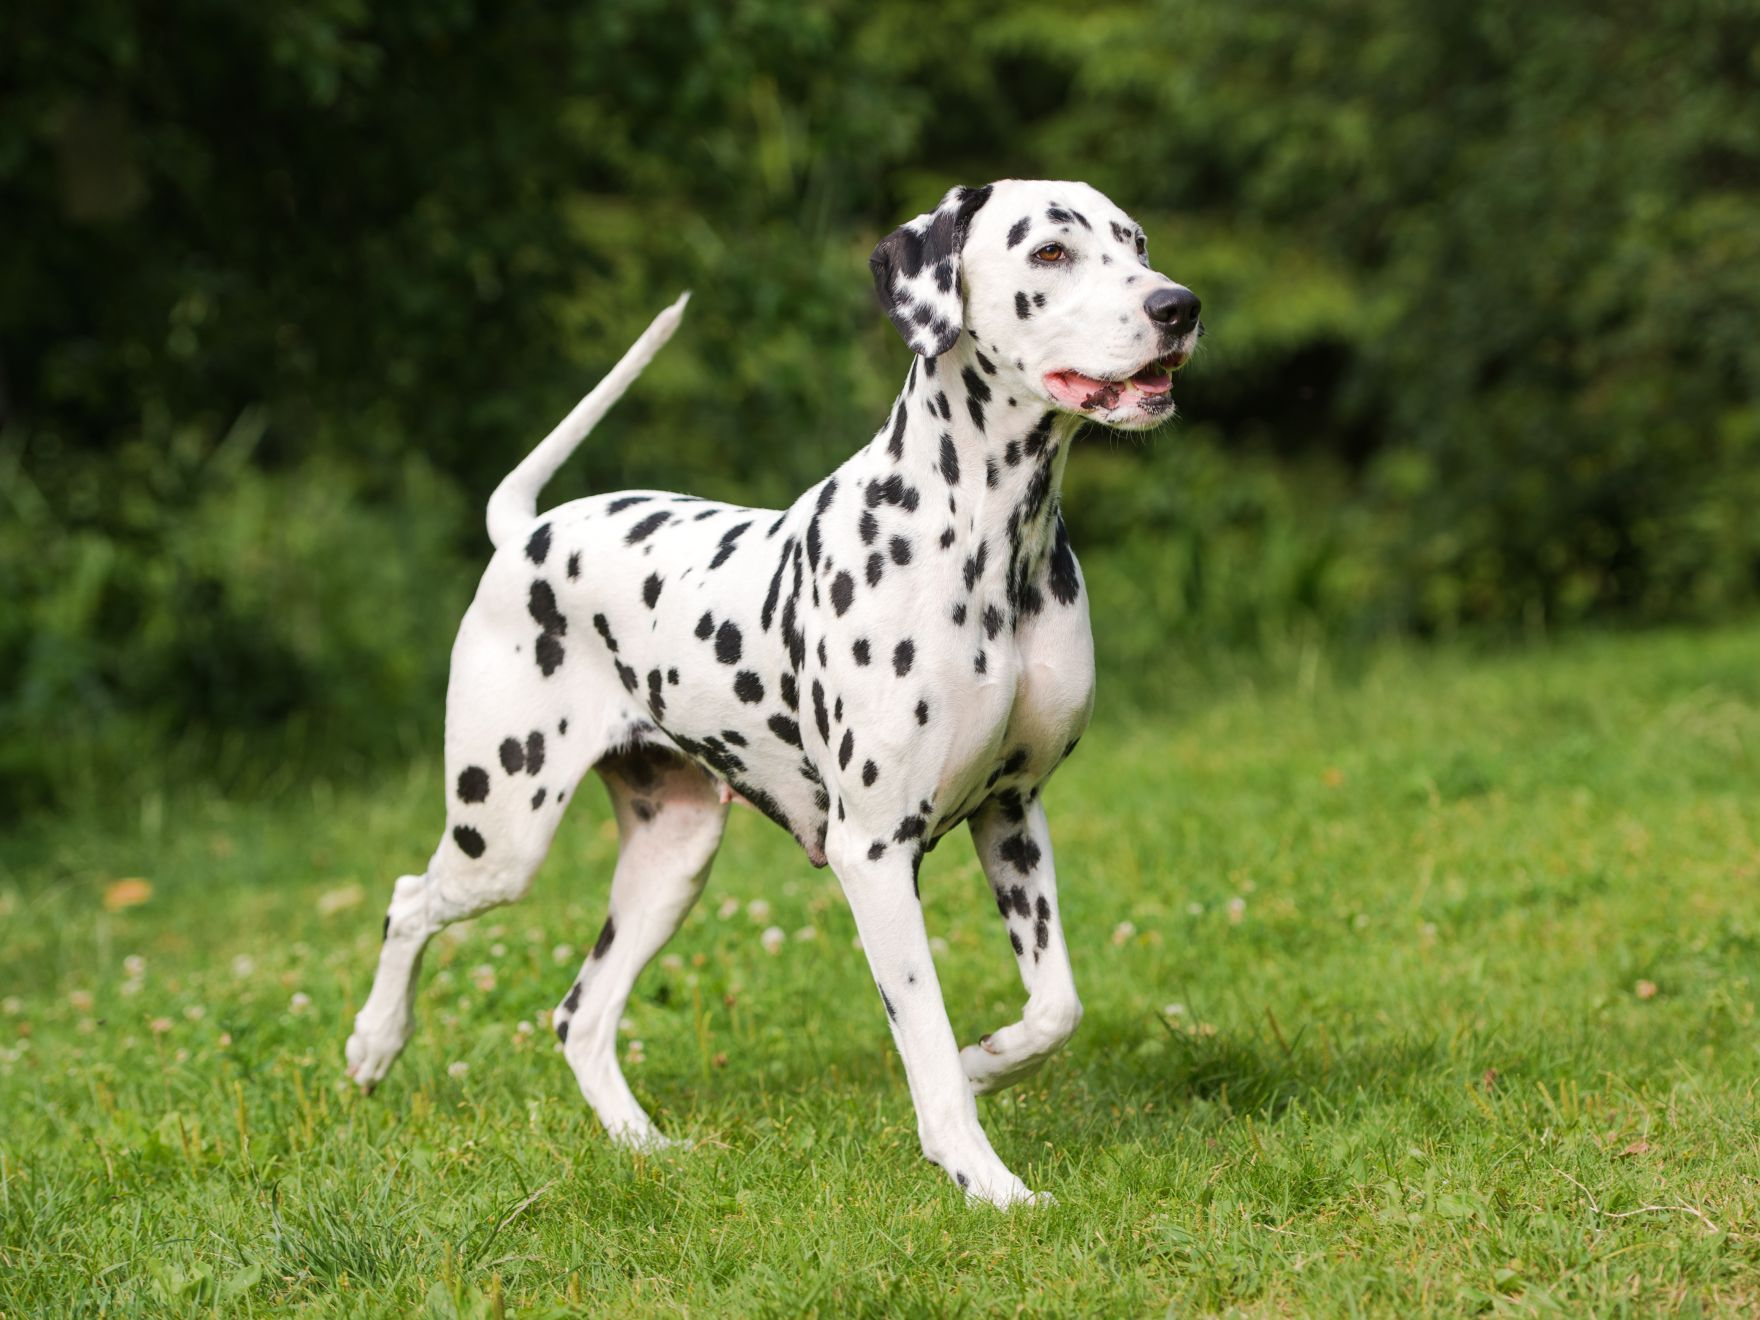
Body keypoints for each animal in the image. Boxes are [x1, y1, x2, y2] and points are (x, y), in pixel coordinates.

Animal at [346, 178, 1196, 1210]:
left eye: (1137, 243)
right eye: (1049, 253)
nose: (1179, 306)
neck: (990, 543)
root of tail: (527, 533)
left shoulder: (1014, 811)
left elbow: (1055, 1007)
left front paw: (988, 1058)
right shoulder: (876, 853)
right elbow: (924, 1041)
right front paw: (984, 1178)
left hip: (671, 862)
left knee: (579, 1014)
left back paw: (642, 1145)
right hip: (499, 836)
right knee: (407, 902)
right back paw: (374, 1045)